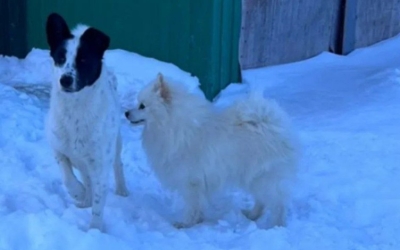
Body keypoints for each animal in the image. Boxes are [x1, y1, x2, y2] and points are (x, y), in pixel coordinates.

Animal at [46, 12, 128, 231]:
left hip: (115, 145)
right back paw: (85, 199)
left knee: (118, 165)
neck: (75, 112)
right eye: (61, 58)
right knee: (85, 176)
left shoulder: (100, 165)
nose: (65, 80)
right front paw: (79, 193)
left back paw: (122, 189)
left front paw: (95, 231)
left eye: (83, 59)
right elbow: (68, 178)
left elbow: (99, 204)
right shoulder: (59, 150)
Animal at [126, 73, 298, 229]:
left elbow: (192, 205)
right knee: (262, 200)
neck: (172, 126)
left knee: (278, 203)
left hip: (265, 176)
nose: (126, 113)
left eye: (142, 106)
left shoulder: (191, 182)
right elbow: (198, 206)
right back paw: (252, 215)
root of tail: (271, 122)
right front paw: (197, 220)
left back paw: (276, 225)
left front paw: (185, 223)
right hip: (253, 176)